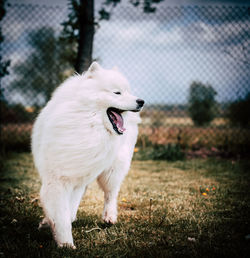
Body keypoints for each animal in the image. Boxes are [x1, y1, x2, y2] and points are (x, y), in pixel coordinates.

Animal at [31, 62, 145, 248]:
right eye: (117, 92)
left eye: (127, 91)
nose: (141, 101)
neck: (87, 126)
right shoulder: (61, 179)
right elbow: (62, 213)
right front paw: (65, 242)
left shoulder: (75, 178)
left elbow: (65, 213)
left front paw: (65, 244)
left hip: (112, 170)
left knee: (111, 193)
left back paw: (109, 217)